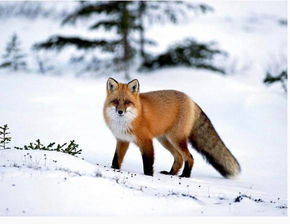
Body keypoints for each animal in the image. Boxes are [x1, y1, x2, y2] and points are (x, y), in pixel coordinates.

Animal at [103, 78, 241, 178]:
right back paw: (171, 173)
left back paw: (185, 176)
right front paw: (114, 170)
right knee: (179, 158)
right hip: (165, 140)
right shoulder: (122, 140)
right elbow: (116, 159)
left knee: (189, 157)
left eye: (127, 102)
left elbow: (148, 163)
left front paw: (148, 177)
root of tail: (191, 100)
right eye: (115, 101)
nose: (120, 112)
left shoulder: (146, 141)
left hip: (176, 139)